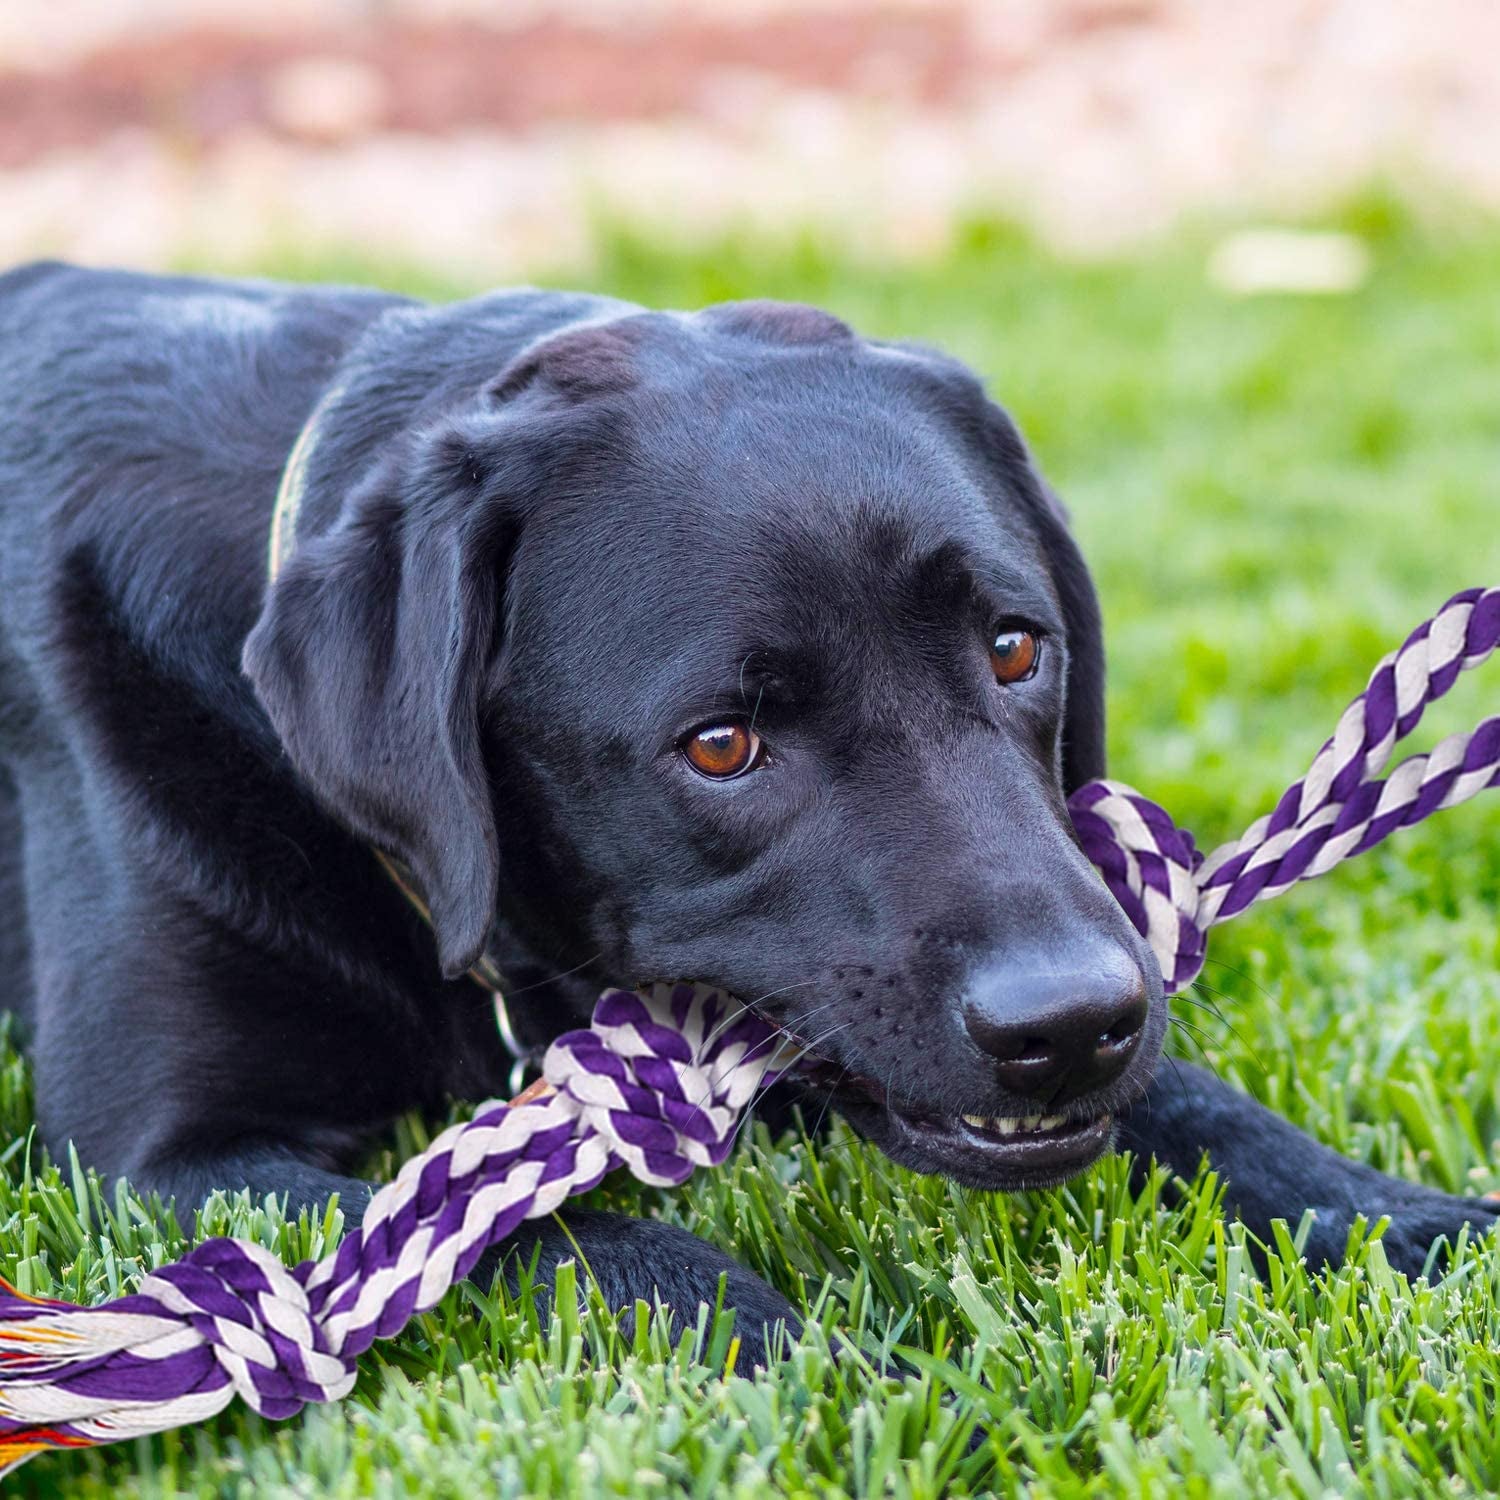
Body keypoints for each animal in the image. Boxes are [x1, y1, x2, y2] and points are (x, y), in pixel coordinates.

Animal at [0, 264, 1494, 1368]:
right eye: (722, 744)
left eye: (1016, 648)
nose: (1072, 1024)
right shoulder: (167, 1159)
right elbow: (522, 1232)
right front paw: (816, 1362)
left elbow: (1201, 1103)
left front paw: (1404, 1221)